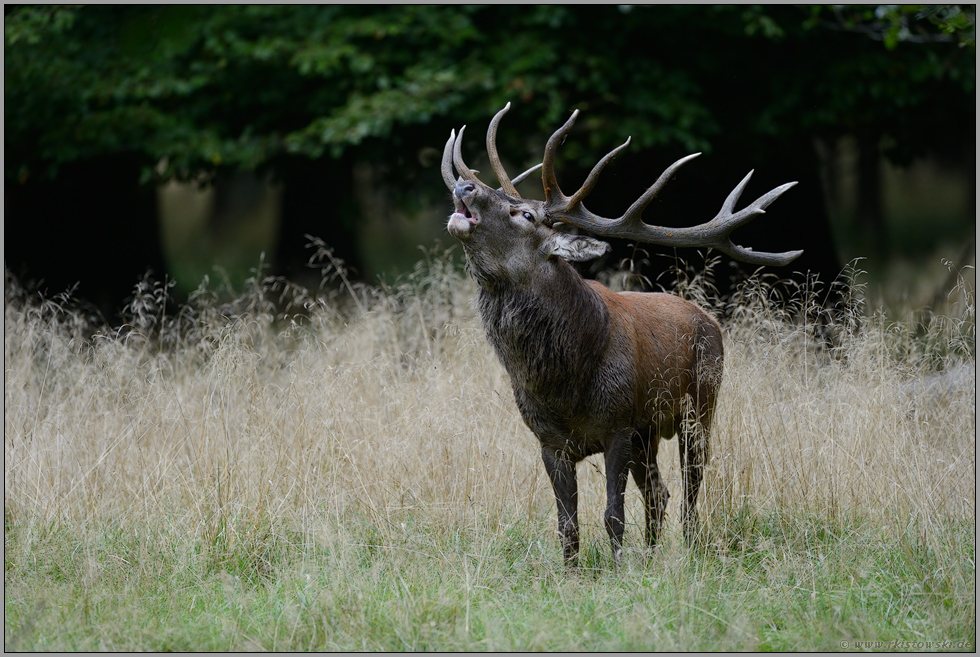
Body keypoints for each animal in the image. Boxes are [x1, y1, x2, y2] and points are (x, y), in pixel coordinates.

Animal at [440, 101, 800, 564]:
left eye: (526, 215)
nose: (465, 185)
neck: (564, 384)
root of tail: (707, 317)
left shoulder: (617, 424)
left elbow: (613, 514)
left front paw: (617, 569)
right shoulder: (549, 440)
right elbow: (567, 525)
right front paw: (573, 573)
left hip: (701, 405)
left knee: (690, 489)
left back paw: (688, 549)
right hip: (648, 432)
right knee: (659, 493)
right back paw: (652, 554)